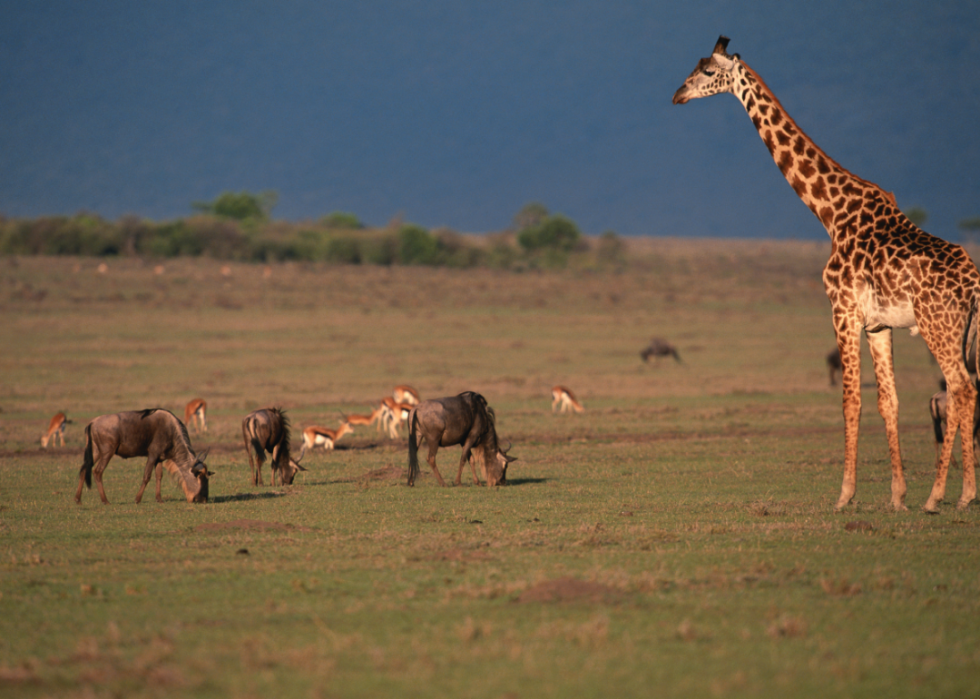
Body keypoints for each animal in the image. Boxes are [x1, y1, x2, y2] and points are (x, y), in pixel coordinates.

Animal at [672, 37, 980, 516]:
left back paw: (941, 496)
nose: (677, 95)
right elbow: (888, 401)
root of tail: (975, 285)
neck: (829, 212)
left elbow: (850, 400)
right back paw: (962, 494)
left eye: (706, 71)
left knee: (960, 390)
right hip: (962, 331)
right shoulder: (877, 324)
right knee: (967, 391)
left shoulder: (842, 310)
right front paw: (897, 495)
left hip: (937, 325)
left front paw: (845, 494)